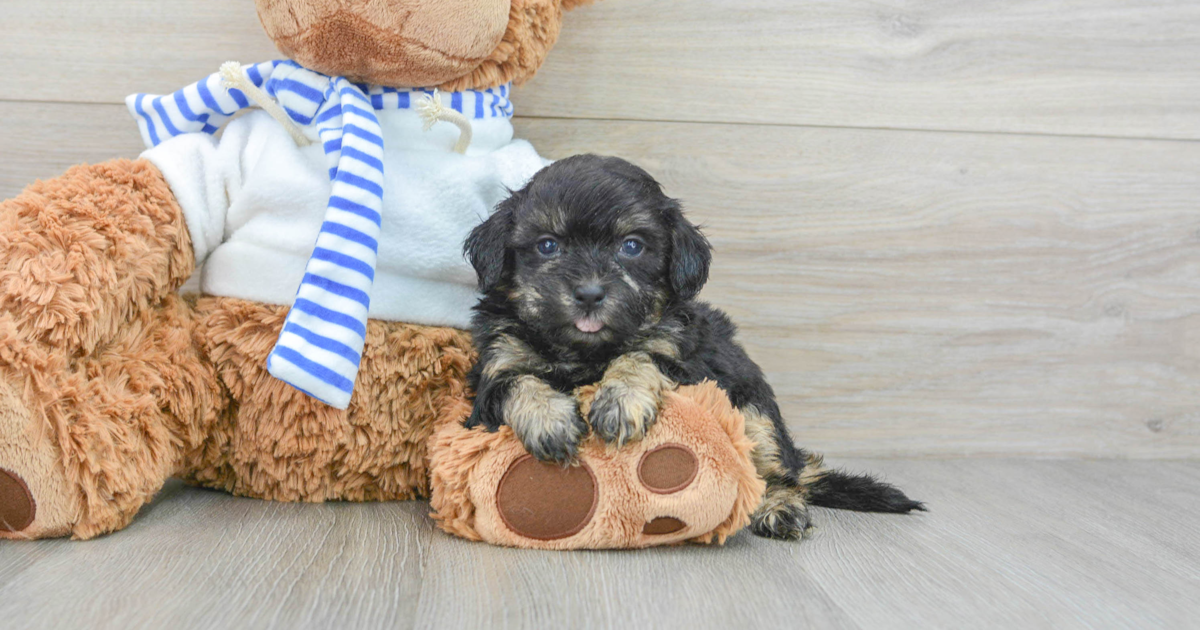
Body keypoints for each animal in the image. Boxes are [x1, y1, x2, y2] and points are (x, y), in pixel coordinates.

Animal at [463, 154, 921, 537]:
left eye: (631, 246)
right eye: (548, 245)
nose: (590, 293)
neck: (587, 351)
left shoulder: (682, 358)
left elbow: (641, 355)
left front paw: (620, 401)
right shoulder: (494, 368)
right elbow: (518, 382)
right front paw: (549, 421)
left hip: (755, 412)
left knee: (772, 472)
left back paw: (779, 508)